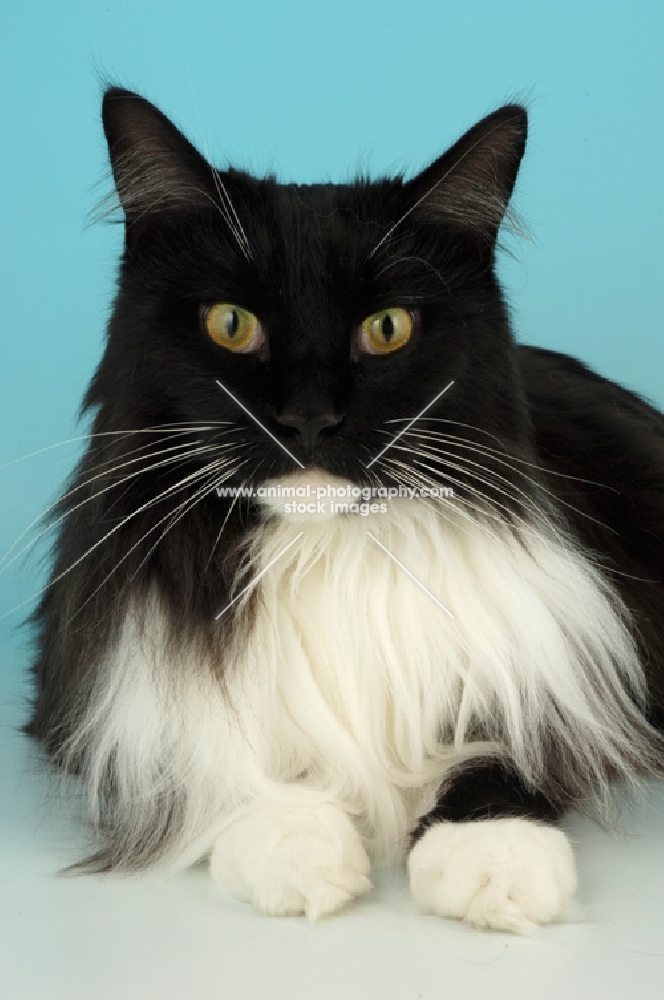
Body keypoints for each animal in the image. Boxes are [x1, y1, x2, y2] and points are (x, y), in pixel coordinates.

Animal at [23, 90, 664, 932]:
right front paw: (297, 848)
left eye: (387, 329)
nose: (307, 418)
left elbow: (504, 750)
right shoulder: (99, 706)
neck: (320, 548)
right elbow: (217, 765)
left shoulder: (552, 669)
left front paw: (494, 857)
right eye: (231, 323)